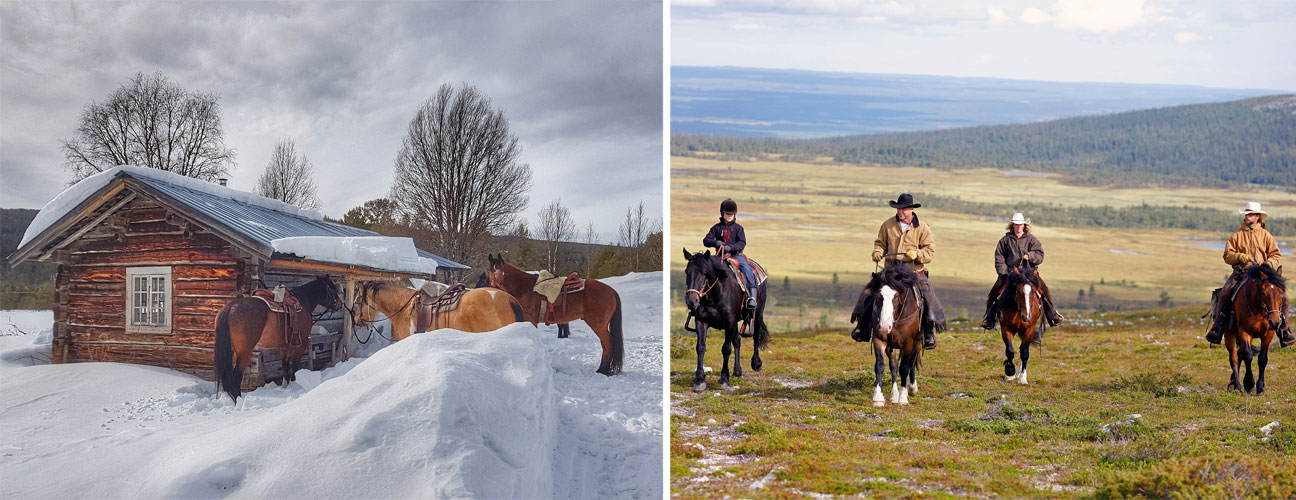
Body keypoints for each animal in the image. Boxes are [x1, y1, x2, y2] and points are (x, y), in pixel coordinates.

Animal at [679, 247, 767, 393]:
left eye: (705, 272)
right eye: (687, 271)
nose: (692, 301)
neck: (715, 294)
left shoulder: (729, 322)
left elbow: (726, 348)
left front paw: (724, 379)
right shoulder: (701, 321)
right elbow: (700, 347)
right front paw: (699, 381)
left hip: (758, 314)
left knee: (755, 337)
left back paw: (756, 363)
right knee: (737, 340)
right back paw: (737, 371)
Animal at [850, 261, 922, 406]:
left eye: (896, 296)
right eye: (877, 296)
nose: (884, 326)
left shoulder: (908, 343)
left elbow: (904, 367)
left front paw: (903, 398)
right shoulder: (879, 339)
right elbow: (880, 366)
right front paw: (878, 398)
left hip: (917, 343)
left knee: (912, 361)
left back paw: (912, 388)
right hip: (891, 345)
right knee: (893, 365)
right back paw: (894, 396)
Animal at [1223, 264, 1285, 396]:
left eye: (1280, 292)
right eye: (1263, 293)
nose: (1275, 322)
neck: (1259, 311)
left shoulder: (1268, 334)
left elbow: (1262, 359)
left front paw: (1260, 387)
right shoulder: (1244, 331)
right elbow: (1248, 355)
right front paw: (1249, 383)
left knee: (1239, 354)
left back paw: (1233, 381)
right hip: (1229, 334)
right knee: (1234, 357)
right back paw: (1237, 385)